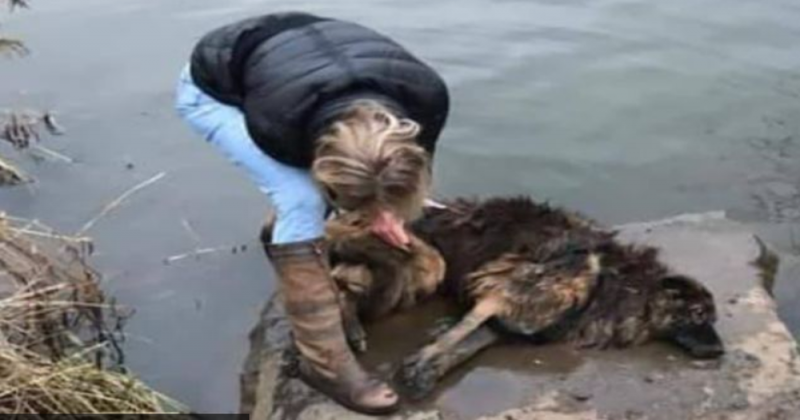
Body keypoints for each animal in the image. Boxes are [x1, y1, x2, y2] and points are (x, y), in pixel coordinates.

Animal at [324, 195, 724, 398]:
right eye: (699, 314)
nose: (720, 351)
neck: (616, 283)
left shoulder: (507, 322)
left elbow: (468, 345)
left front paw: (431, 368)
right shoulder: (503, 288)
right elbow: (461, 331)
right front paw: (418, 363)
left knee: (344, 282)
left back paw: (352, 327)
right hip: (424, 261)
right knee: (339, 270)